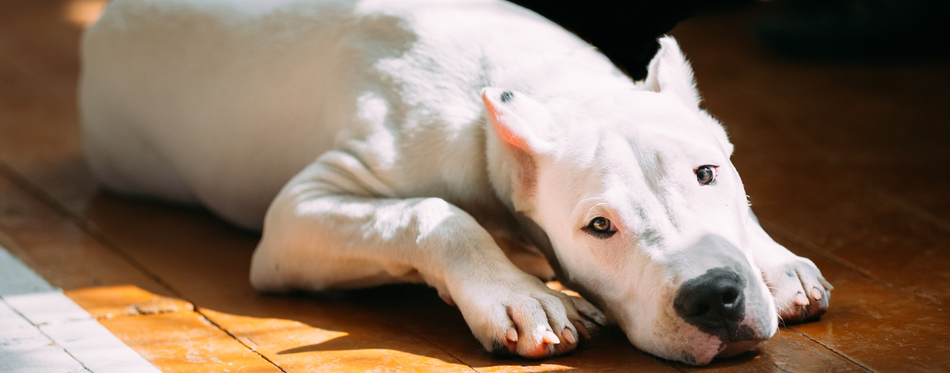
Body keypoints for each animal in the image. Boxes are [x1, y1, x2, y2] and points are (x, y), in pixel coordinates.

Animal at [80, 0, 832, 364]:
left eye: (710, 173)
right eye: (599, 227)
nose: (715, 296)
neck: (543, 89)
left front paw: (776, 263)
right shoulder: (298, 212)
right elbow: (435, 213)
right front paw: (520, 296)